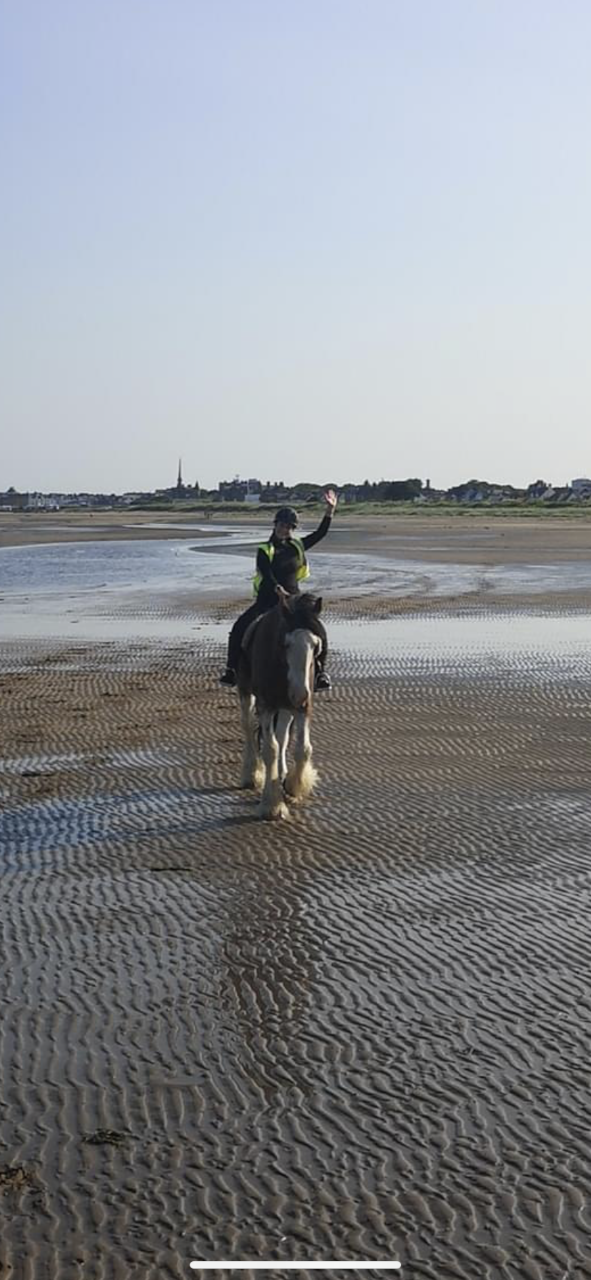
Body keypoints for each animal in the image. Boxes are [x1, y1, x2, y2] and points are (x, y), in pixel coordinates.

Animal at [236, 592, 324, 820]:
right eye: (285, 644)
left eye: (315, 645)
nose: (300, 694)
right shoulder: (266, 705)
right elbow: (270, 749)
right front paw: (272, 804)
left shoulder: (303, 708)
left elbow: (303, 748)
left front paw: (294, 784)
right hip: (246, 691)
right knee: (247, 725)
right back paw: (250, 773)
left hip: (286, 706)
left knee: (282, 734)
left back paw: (282, 772)